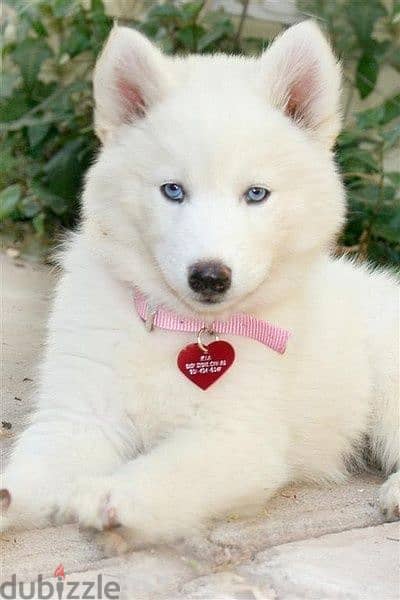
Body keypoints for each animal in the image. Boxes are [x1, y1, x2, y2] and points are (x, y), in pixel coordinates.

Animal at [0, 22, 400, 544]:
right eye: (173, 190)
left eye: (256, 194)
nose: (209, 277)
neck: (181, 329)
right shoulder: (80, 419)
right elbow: (31, 473)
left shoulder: (234, 437)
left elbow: (167, 470)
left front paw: (111, 494)